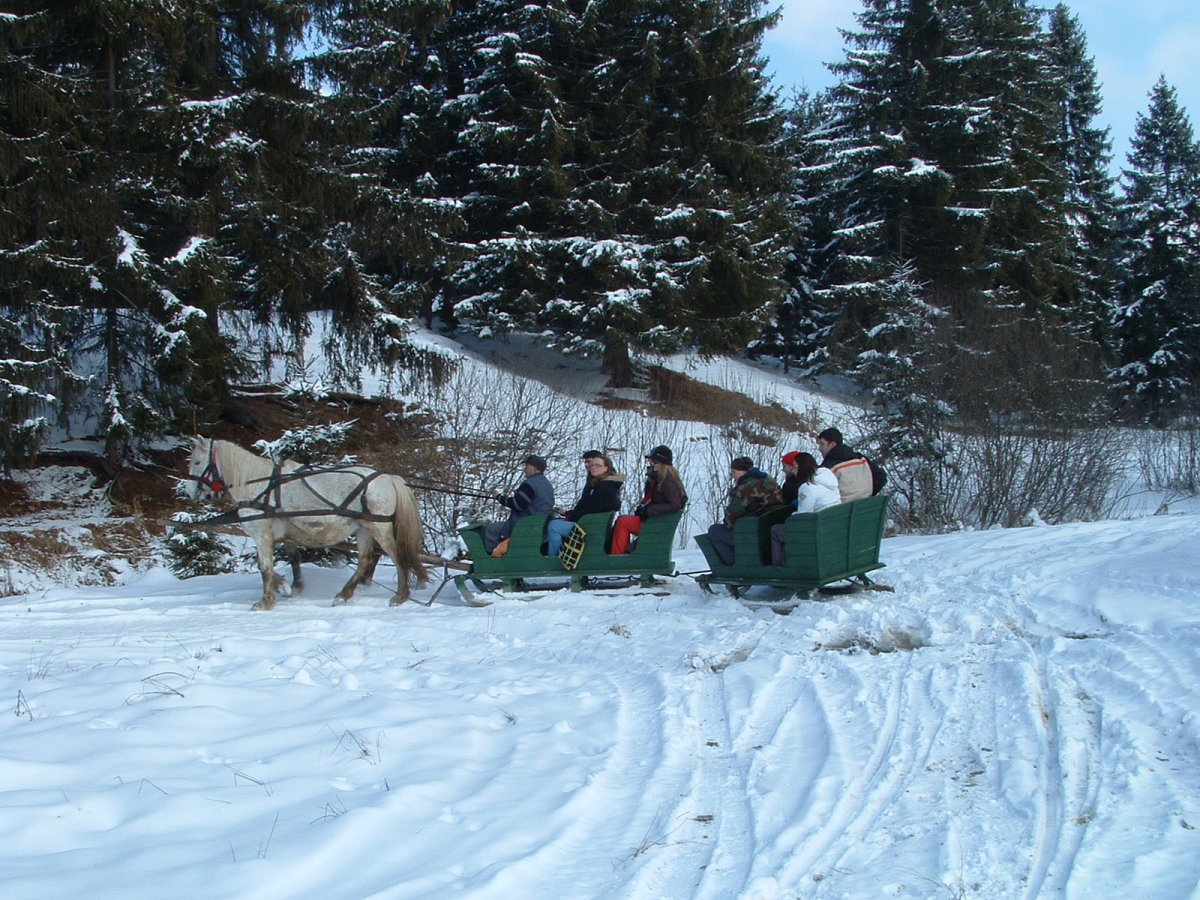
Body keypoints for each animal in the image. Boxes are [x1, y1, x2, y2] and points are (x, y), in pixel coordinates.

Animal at [183, 437, 428, 610]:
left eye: (197, 462)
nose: (189, 492)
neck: (259, 486)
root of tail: (388, 478)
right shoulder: (285, 534)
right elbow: (293, 559)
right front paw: (290, 586)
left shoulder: (261, 535)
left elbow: (264, 567)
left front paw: (266, 601)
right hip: (363, 528)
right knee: (365, 560)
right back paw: (344, 595)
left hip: (378, 527)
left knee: (396, 555)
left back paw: (400, 595)